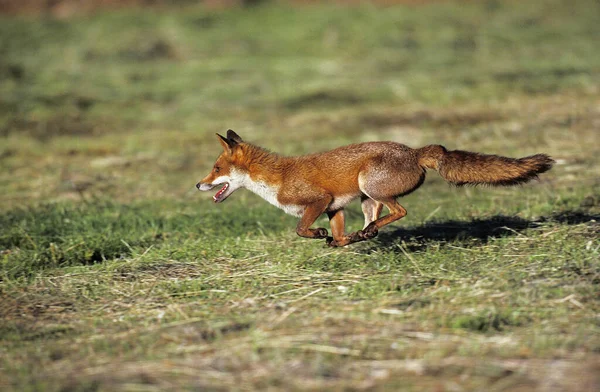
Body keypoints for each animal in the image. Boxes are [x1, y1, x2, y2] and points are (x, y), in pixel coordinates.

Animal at [197, 130, 552, 247]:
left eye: (216, 169)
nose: (198, 183)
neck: (275, 179)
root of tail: (415, 151)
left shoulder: (319, 200)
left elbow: (300, 229)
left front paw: (318, 235)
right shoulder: (335, 207)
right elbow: (337, 236)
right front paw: (337, 240)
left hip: (371, 186)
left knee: (400, 210)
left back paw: (368, 232)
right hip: (366, 198)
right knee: (376, 219)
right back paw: (364, 234)